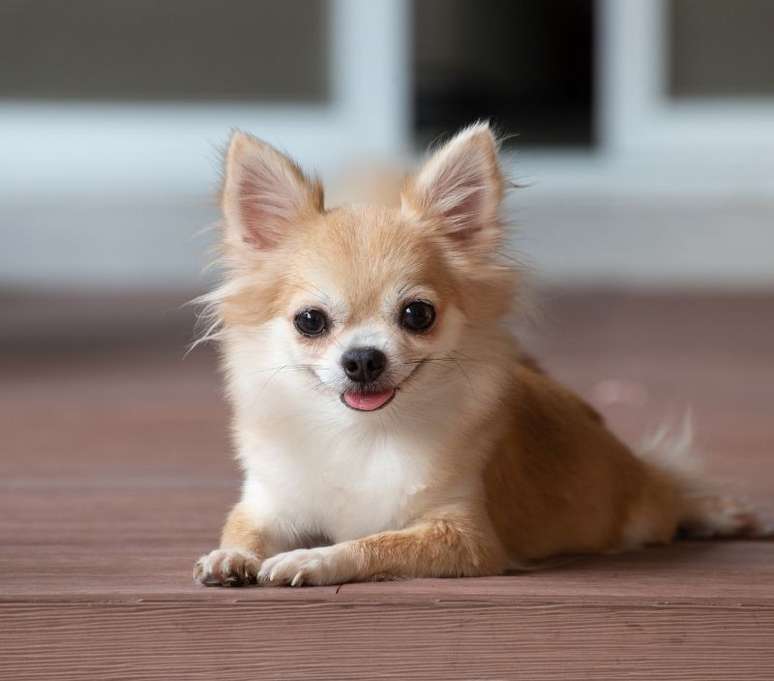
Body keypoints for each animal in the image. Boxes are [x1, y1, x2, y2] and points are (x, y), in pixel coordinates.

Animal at [194, 121, 764, 584]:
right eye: (310, 321)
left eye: (417, 314)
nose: (362, 359)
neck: (363, 433)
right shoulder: (269, 503)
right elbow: (240, 527)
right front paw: (231, 557)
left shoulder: (464, 536)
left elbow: (373, 542)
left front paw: (311, 558)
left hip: (637, 502)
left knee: (666, 492)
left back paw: (717, 513)